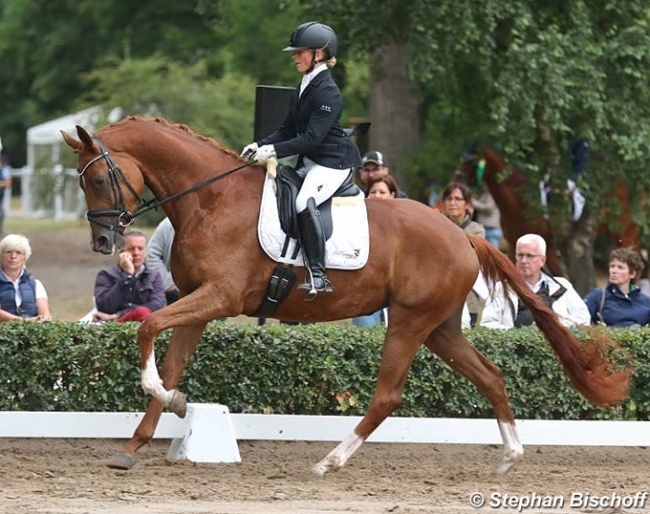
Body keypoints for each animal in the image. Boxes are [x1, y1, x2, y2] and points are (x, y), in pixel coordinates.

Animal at [62, 117, 628, 476]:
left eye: (98, 178)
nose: (103, 243)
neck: (210, 198)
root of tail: (460, 234)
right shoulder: (200, 303)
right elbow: (171, 360)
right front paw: (139, 440)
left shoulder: (220, 297)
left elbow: (146, 326)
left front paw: (170, 405)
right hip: (440, 327)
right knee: (490, 376)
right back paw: (509, 458)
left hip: (409, 321)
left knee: (387, 395)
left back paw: (329, 462)